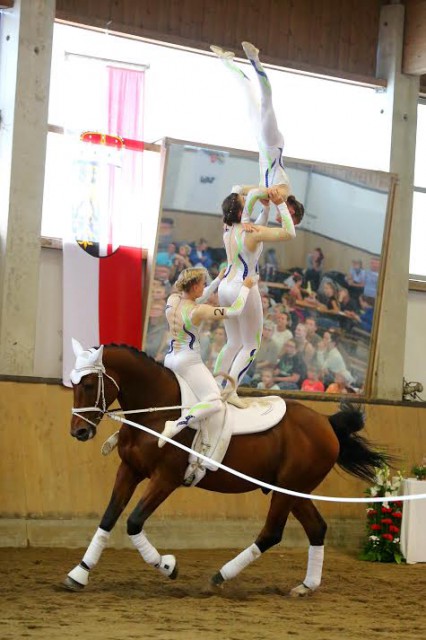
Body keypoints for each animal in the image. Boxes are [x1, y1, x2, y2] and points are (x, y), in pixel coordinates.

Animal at [65, 342, 388, 596]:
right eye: (73, 385)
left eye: (89, 385)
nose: (79, 432)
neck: (157, 411)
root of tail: (326, 423)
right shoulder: (129, 469)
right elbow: (108, 518)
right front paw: (79, 574)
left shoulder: (165, 479)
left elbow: (133, 522)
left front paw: (168, 566)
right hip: (296, 491)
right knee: (317, 528)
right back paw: (306, 586)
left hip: (287, 491)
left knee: (272, 533)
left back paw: (218, 578)